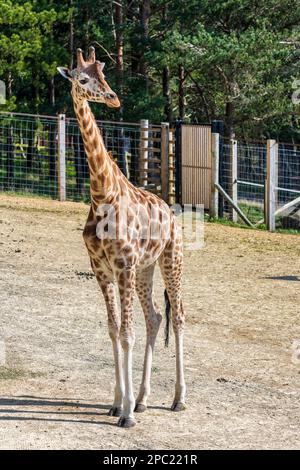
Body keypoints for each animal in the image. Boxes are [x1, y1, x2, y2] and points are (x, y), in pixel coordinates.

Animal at [56, 46, 185, 428]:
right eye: (83, 79)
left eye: (105, 76)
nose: (113, 98)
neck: (102, 194)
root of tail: (172, 214)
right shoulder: (101, 269)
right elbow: (114, 330)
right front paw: (118, 403)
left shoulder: (123, 266)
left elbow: (127, 332)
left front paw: (125, 414)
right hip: (145, 270)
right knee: (155, 317)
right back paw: (143, 399)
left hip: (171, 259)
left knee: (178, 315)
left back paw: (178, 399)